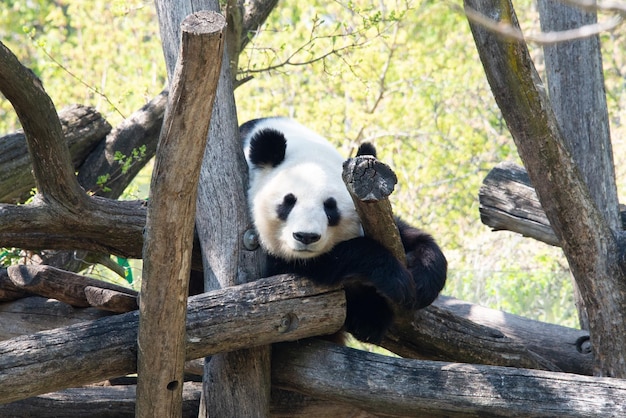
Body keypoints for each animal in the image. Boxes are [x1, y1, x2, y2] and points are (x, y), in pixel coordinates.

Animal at [241, 116, 446, 342]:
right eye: (288, 201)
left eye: (330, 207)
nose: (306, 237)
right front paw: (396, 280)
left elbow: (412, 237)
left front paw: (423, 282)